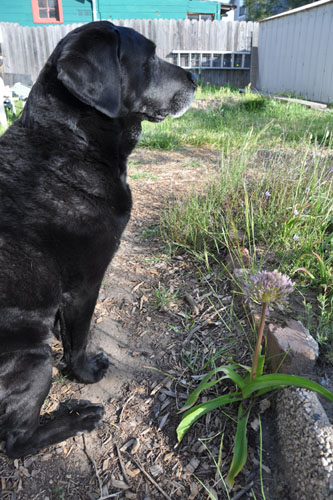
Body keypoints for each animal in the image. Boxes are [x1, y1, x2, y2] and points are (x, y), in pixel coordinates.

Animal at [0, 21, 195, 458]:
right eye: (150, 57)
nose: (197, 78)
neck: (71, 142)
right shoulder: (85, 284)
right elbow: (79, 340)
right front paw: (86, 371)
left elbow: (68, 330)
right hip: (32, 360)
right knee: (17, 441)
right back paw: (80, 417)